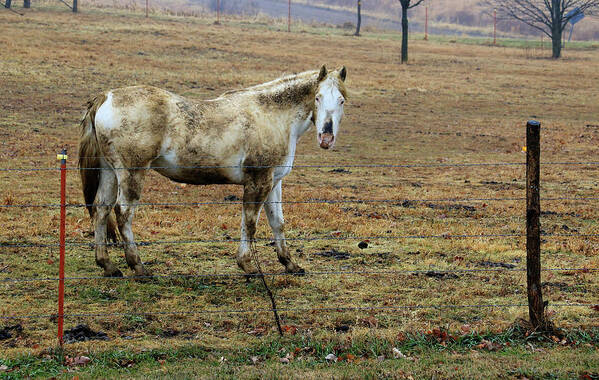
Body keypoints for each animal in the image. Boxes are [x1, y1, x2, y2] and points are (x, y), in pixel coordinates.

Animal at [80, 65, 352, 278]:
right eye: (317, 98)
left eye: (341, 100)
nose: (326, 137)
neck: (272, 116)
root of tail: (106, 97)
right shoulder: (258, 181)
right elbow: (250, 223)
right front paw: (247, 265)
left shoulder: (274, 182)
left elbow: (278, 223)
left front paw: (290, 264)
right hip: (132, 173)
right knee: (123, 214)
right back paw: (138, 267)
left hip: (110, 172)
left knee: (101, 211)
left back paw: (108, 265)